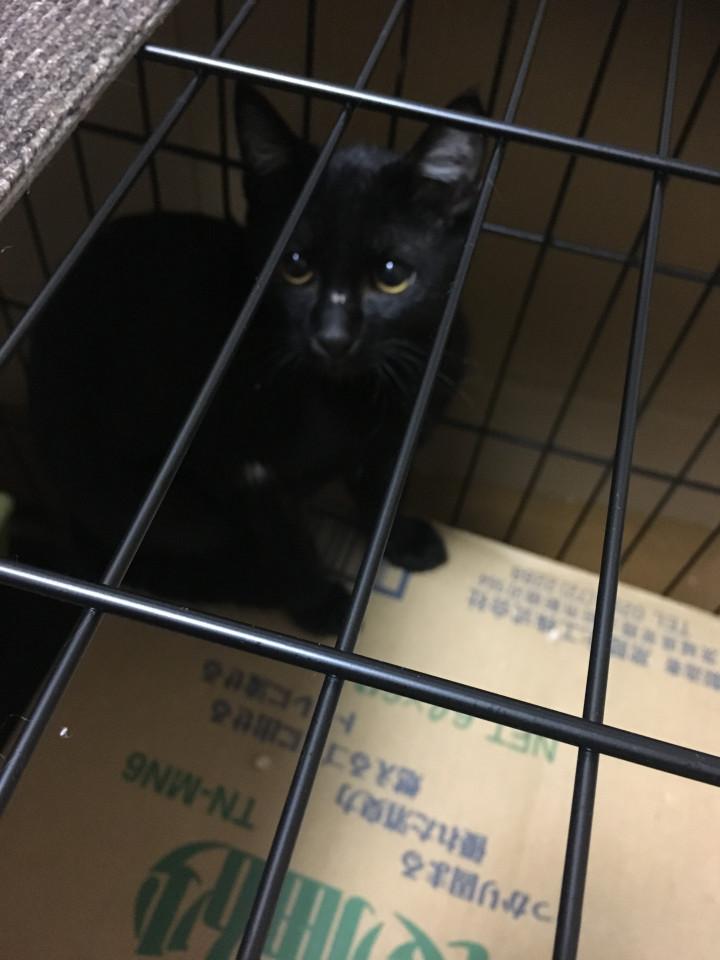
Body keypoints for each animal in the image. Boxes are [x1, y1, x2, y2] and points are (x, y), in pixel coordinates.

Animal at [26, 84, 484, 635]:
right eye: (295, 266)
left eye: (392, 275)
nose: (332, 336)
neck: (348, 399)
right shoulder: (245, 468)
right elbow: (289, 545)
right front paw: (320, 606)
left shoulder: (390, 442)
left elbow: (379, 492)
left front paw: (405, 540)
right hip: (150, 503)